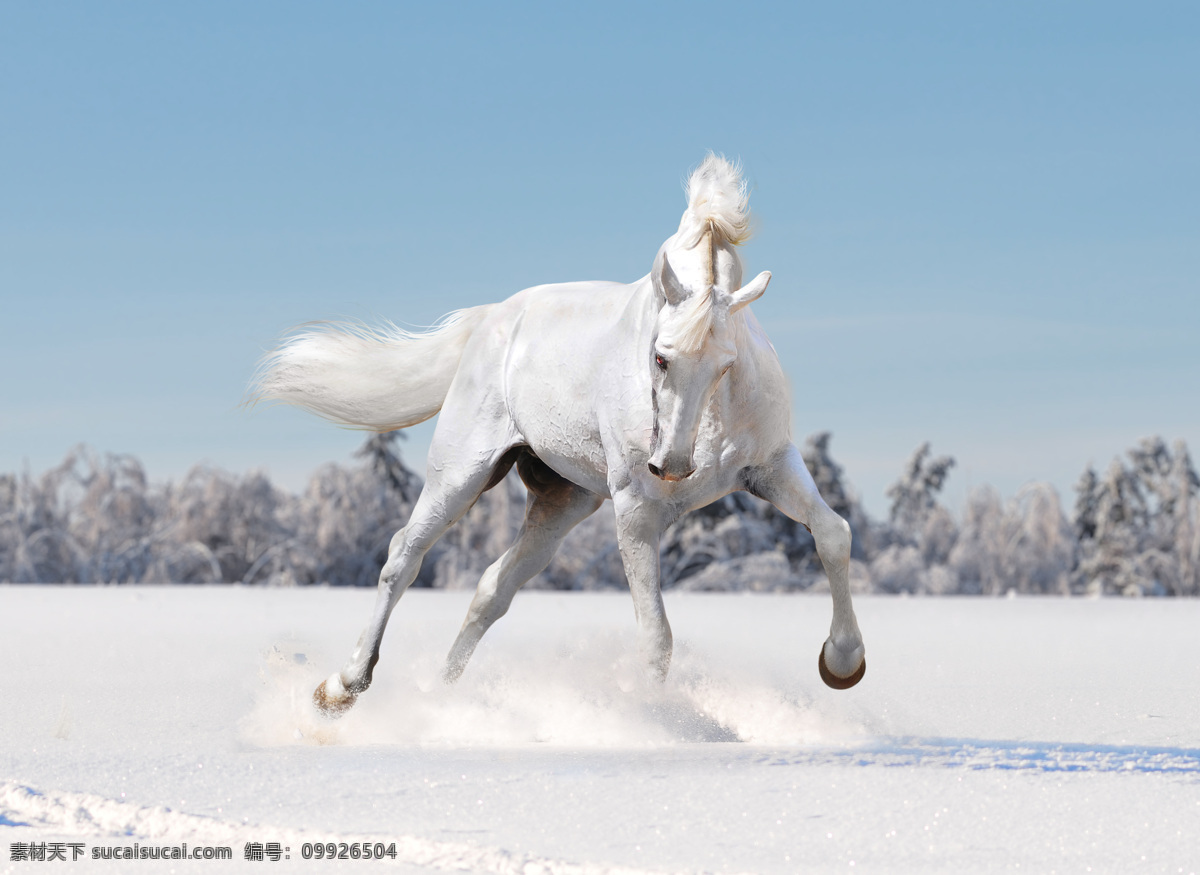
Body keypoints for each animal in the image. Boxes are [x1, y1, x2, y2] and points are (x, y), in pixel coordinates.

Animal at [258, 153, 868, 715]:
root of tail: (493, 319)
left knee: (492, 589)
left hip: (563, 501)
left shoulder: (772, 468)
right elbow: (656, 636)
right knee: (403, 557)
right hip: (460, 475)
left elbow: (833, 533)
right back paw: (342, 686)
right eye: (660, 357)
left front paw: (842, 663)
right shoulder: (637, 510)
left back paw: (441, 696)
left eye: (726, 365)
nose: (672, 466)